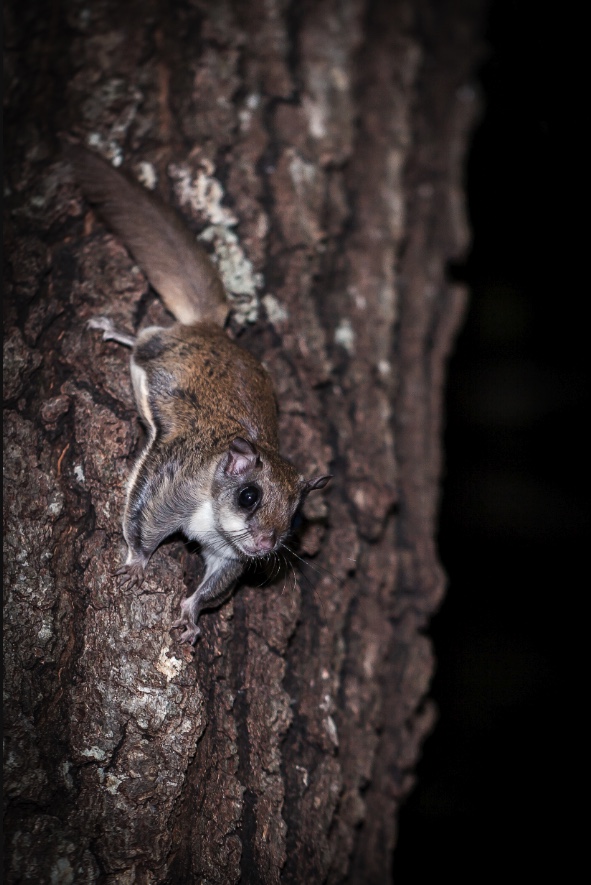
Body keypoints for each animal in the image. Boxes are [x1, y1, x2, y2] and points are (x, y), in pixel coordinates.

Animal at [70, 143, 332, 644]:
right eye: (248, 496)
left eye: (295, 517)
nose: (266, 543)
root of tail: (213, 328)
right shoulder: (174, 483)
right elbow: (142, 520)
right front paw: (137, 564)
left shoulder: (230, 556)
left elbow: (214, 587)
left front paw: (191, 617)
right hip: (162, 348)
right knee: (146, 338)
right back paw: (117, 330)